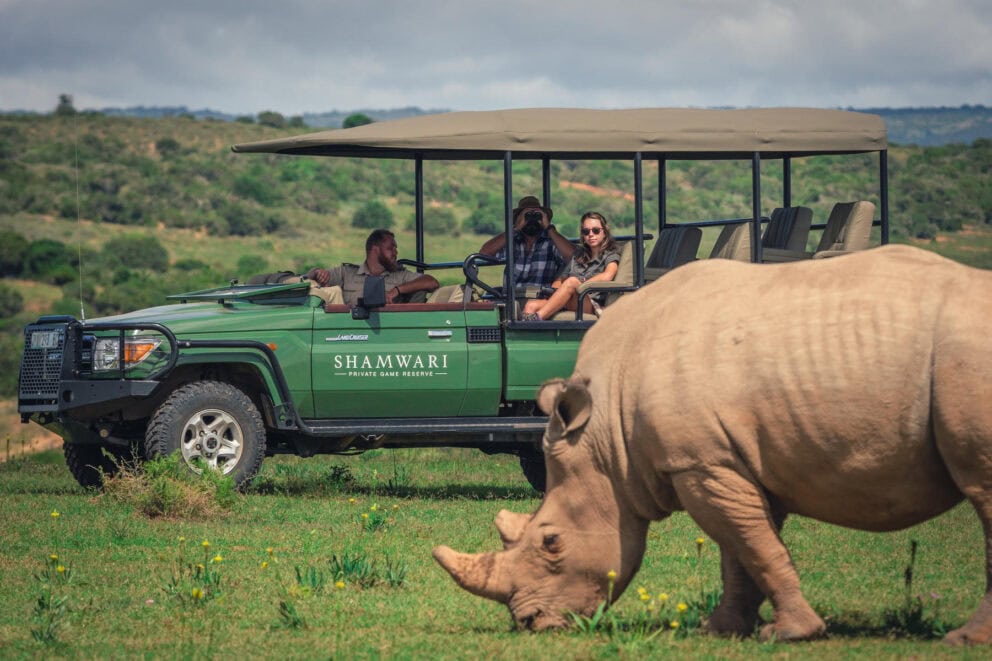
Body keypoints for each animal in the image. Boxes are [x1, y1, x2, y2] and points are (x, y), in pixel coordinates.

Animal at [434, 244, 992, 644]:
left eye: (551, 542)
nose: (530, 623)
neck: (607, 438)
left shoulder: (701, 462)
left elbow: (753, 546)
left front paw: (791, 633)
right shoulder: (727, 459)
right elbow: (743, 548)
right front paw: (723, 631)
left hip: (965, 357)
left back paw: (962, 640)